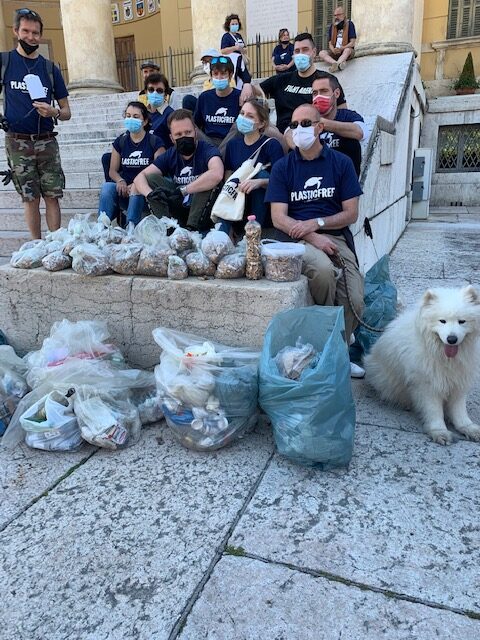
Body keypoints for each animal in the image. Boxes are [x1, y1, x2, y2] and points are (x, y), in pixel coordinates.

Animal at [364, 286, 480, 444]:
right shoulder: (428, 385)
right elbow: (434, 411)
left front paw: (468, 428)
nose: (452, 339)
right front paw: (440, 432)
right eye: (442, 321)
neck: (445, 358)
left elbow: (459, 410)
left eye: (462, 321)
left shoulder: (458, 381)